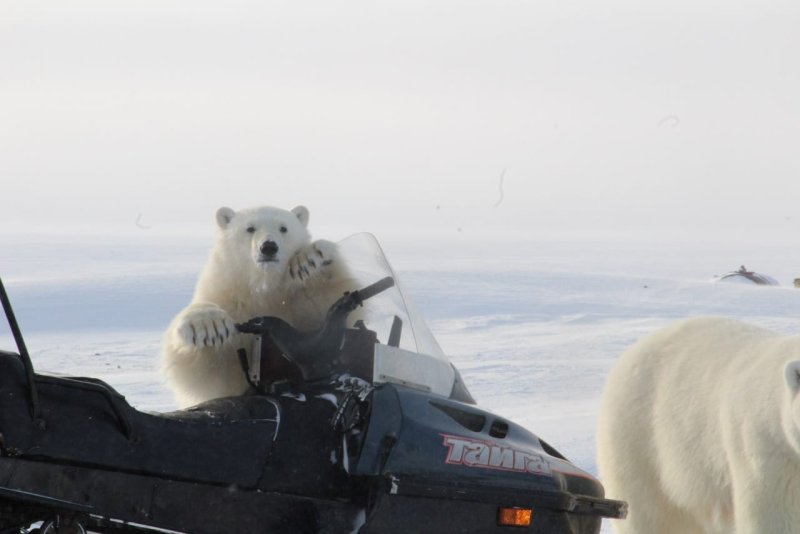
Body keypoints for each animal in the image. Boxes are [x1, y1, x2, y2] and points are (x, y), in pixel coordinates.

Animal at [161, 207, 354, 408]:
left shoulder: (298, 301)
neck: (264, 287)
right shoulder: (229, 300)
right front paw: (208, 326)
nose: (268, 247)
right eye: (250, 228)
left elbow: (332, 320)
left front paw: (310, 258)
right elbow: (204, 371)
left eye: (283, 228)